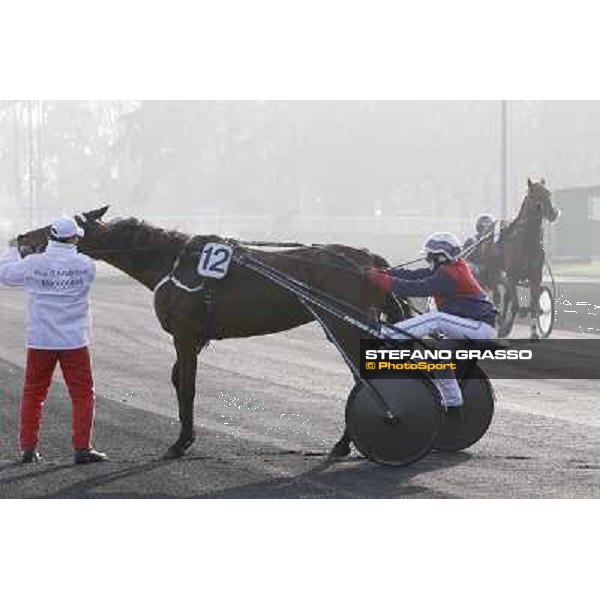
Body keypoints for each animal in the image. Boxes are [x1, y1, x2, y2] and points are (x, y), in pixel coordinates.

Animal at [16, 207, 408, 460]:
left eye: (55, 226)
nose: (20, 237)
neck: (176, 263)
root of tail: (372, 262)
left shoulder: (186, 335)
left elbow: (187, 386)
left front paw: (181, 442)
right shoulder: (197, 338)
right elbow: (177, 381)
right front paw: (185, 436)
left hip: (344, 327)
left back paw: (350, 441)